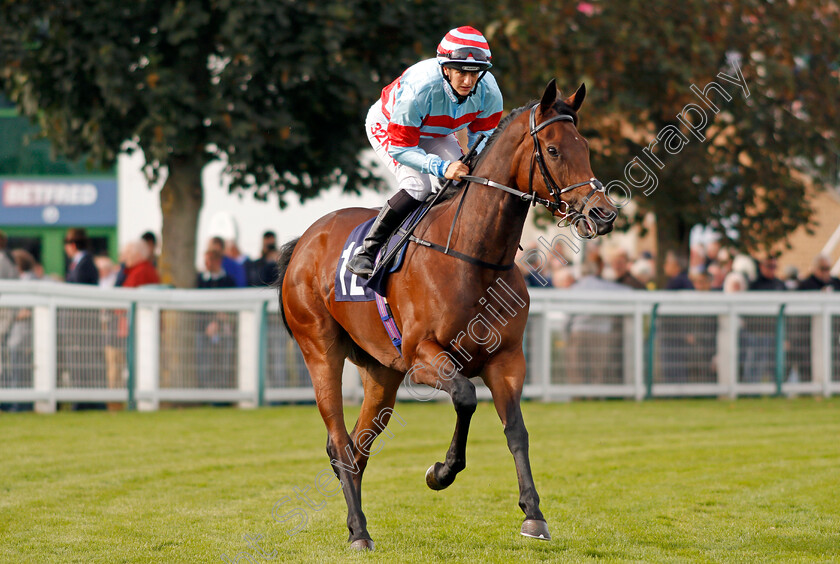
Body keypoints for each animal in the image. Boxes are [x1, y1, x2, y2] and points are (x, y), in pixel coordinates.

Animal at [278, 77, 612, 548]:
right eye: (553, 150)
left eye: (584, 146)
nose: (603, 214)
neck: (473, 256)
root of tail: (303, 242)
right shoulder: (423, 357)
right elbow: (466, 397)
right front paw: (441, 472)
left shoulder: (507, 360)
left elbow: (517, 431)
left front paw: (534, 515)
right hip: (321, 351)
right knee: (340, 442)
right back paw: (359, 531)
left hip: (381, 371)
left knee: (359, 446)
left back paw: (357, 526)